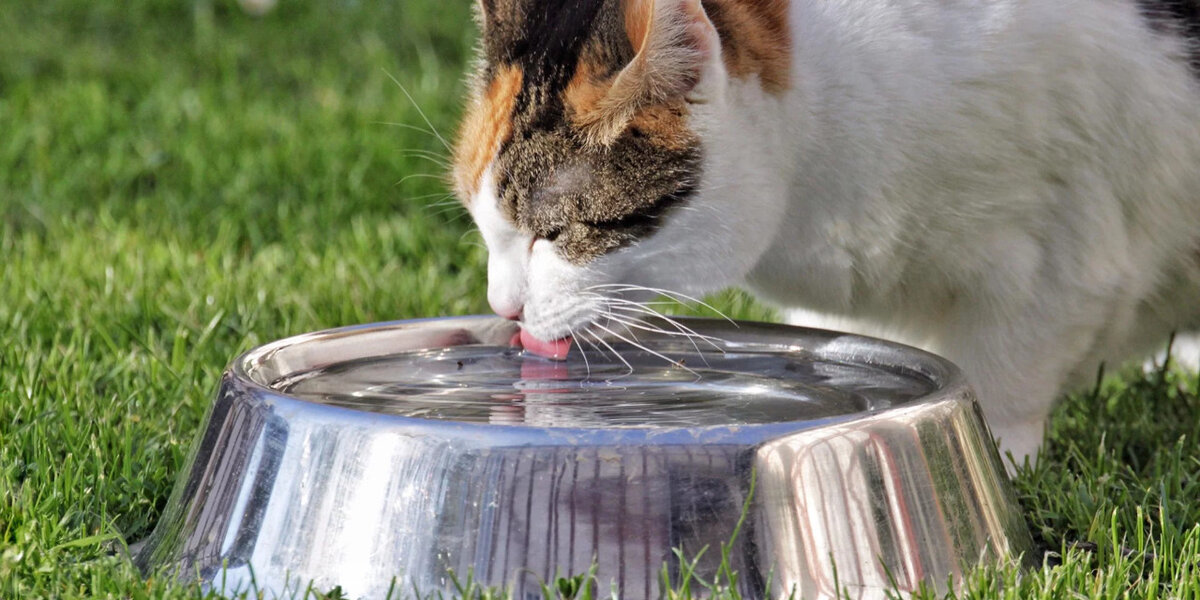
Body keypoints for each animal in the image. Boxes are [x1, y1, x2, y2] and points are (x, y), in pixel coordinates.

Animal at [448, 0, 1200, 465]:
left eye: (557, 232)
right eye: (484, 226)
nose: (503, 308)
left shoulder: (1059, 253)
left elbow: (1003, 379)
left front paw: (1001, 458)